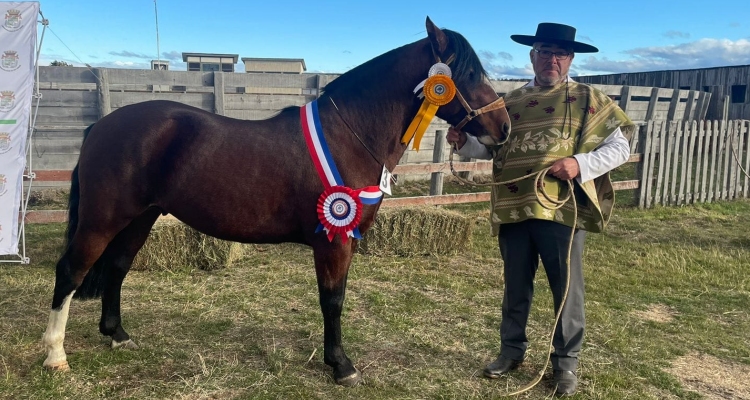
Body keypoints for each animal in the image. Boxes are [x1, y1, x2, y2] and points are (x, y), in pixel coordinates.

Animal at [39, 17, 512, 386]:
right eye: (470, 74)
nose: (504, 128)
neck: (348, 136)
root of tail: (101, 127)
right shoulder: (333, 240)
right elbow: (333, 299)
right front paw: (341, 365)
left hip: (141, 217)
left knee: (117, 268)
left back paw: (118, 336)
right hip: (102, 219)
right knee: (72, 271)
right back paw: (55, 355)